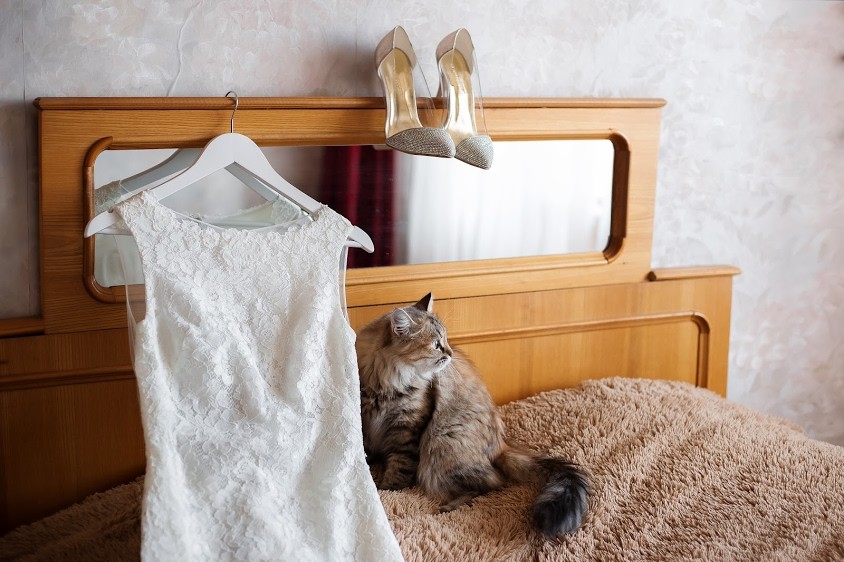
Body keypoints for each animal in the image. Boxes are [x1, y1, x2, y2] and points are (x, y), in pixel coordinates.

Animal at [356, 292, 589, 537]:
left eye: (446, 340)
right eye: (436, 345)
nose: (449, 353)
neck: (387, 382)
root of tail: (501, 445)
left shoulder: (407, 427)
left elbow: (400, 466)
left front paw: (386, 491)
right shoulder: (366, 419)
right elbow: (367, 450)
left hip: (441, 446)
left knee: (493, 482)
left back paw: (448, 506)